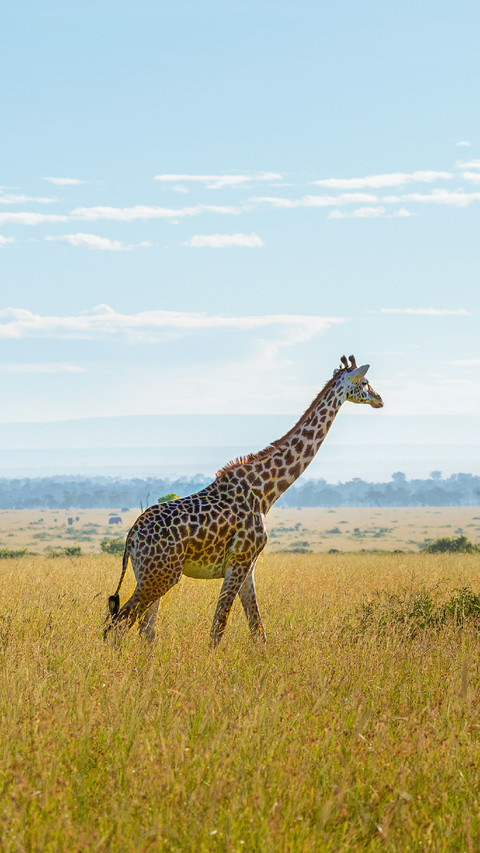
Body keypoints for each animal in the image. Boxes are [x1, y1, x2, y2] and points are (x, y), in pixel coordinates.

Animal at [105, 355, 383, 645]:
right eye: (365, 382)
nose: (380, 399)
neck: (265, 491)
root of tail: (131, 536)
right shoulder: (239, 560)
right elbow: (219, 628)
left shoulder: (249, 565)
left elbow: (258, 631)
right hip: (160, 575)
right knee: (120, 623)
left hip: (152, 575)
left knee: (145, 629)